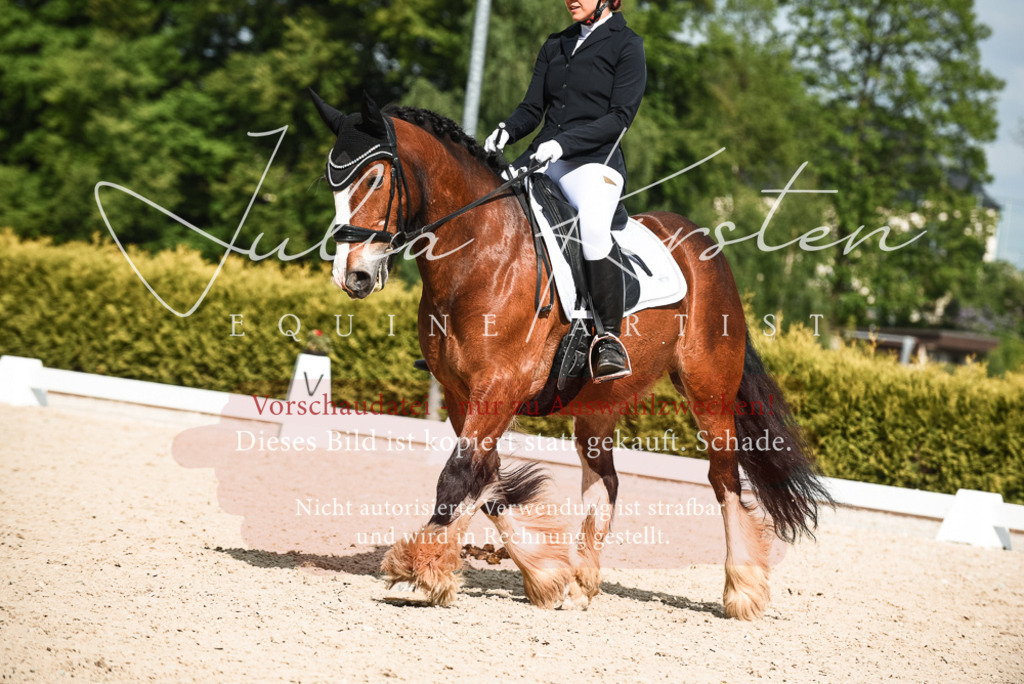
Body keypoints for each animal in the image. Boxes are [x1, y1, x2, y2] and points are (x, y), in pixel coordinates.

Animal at [311, 91, 833, 620]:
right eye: (332, 184)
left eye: (374, 178)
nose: (351, 275)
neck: (481, 254)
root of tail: (706, 245)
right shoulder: (461, 394)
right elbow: (486, 482)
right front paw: (544, 575)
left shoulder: (499, 386)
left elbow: (459, 476)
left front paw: (422, 569)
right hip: (599, 402)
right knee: (607, 481)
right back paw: (584, 581)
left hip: (710, 390)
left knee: (724, 478)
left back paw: (742, 590)